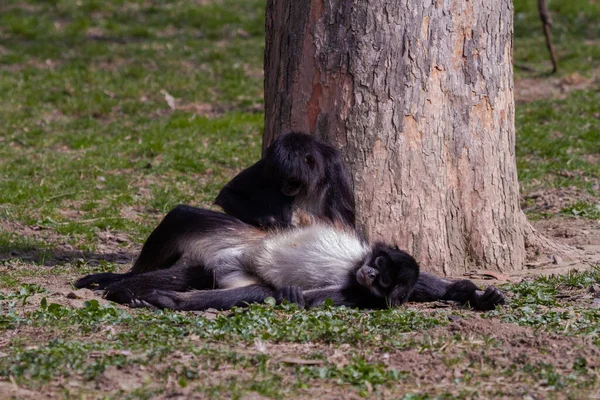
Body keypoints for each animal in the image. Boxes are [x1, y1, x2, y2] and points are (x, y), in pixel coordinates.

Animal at [214, 133, 356, 230]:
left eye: (292, 179)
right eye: (279, 178)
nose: (286, 187)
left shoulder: (335, 164)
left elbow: (345, 223)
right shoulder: (267, 164)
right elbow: (227, 194)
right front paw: (272, 222)